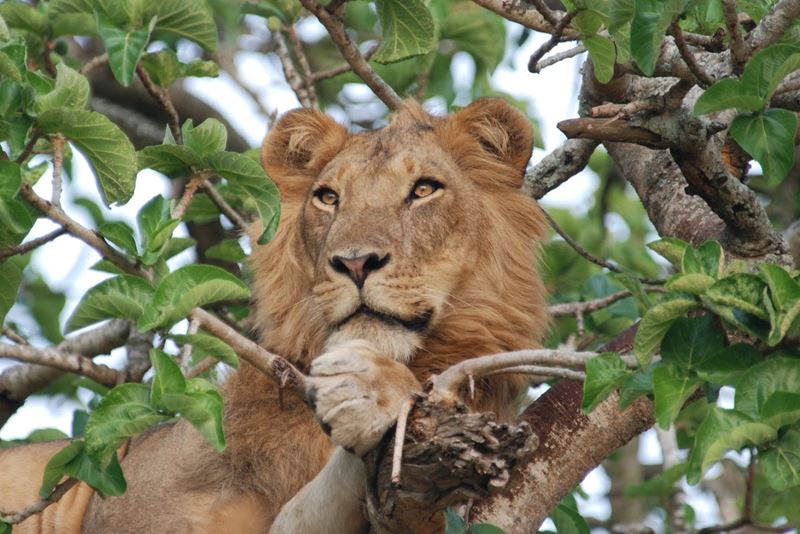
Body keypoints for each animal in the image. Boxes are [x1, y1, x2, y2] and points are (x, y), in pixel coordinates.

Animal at [0, 98, 549, 533]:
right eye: (328, 197)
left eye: (424, 190)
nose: (355, 262)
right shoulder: (130, 513)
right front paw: (369, 390)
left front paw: (369, 392)